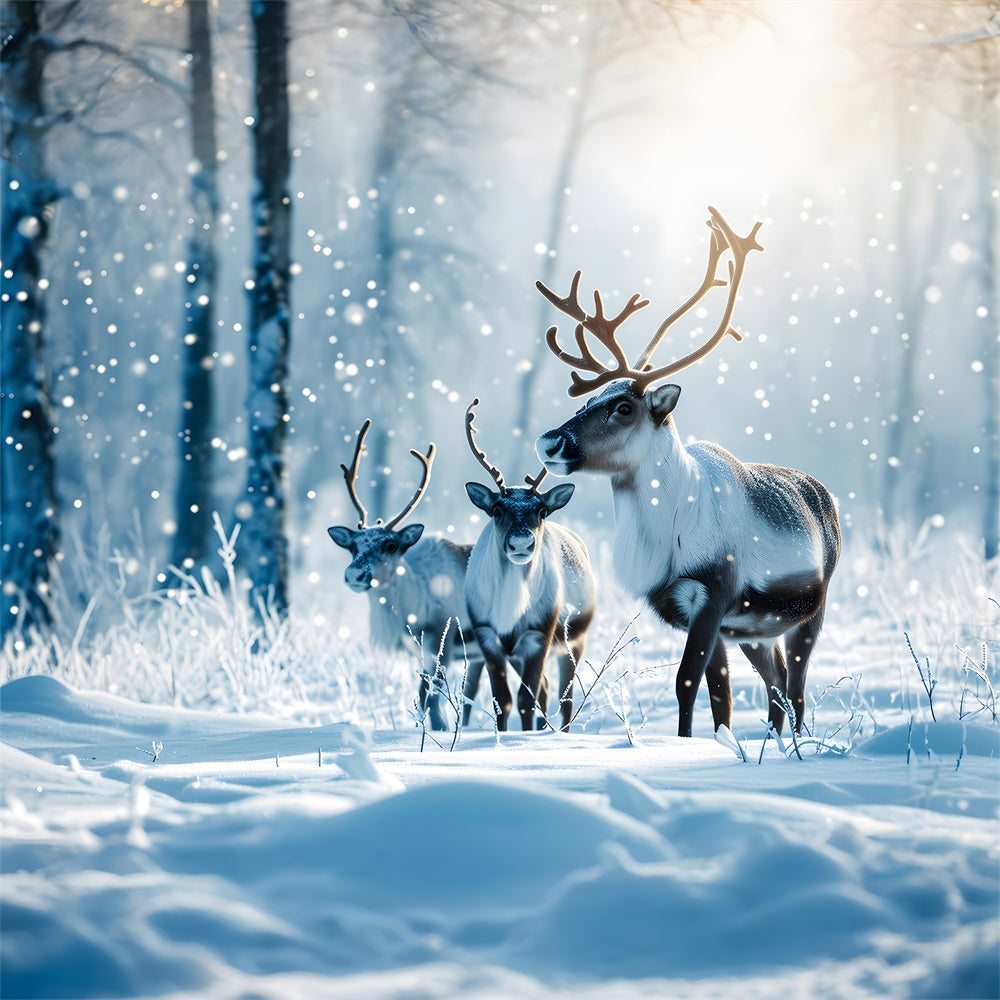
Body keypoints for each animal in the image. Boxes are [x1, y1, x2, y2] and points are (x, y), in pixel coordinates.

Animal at [328, 420, 484, 731]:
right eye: (352, 547)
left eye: (391, 545)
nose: (354, 575)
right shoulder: (418, 650)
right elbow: (424, 695)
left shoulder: (443, 643)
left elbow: (432, 698)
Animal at [463, 398, 596, 732]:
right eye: (497, 509)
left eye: (542, 510)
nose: (521, 543)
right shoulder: (488, 635)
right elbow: (503, 701)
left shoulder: (539, 634)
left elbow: (526, 699)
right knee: (547, 689)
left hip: (574, 639)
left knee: (564, 697)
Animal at [534, 206, 841, 740]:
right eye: (588, 400)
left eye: (624, 407)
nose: (550, 441)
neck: (667, 535)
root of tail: (828, 497)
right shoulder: (694, 610)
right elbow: (718, 693)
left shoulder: (713, 594)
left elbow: (687, 682)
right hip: (754, 630)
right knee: (777, 681)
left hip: (810, 610)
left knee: (798, 685)